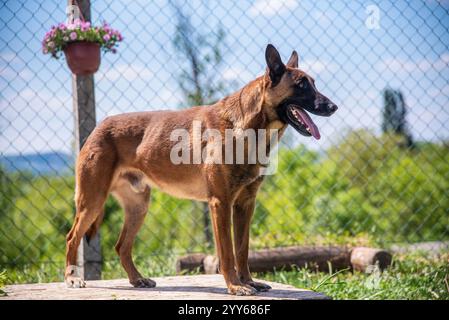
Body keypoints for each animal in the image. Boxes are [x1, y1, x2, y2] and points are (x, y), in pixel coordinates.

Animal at [64, 44, 336, 296]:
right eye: (301, 85)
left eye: (313, 83)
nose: (333, 107)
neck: (248, 129)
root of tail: (98, 127)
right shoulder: (220, 203)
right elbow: (227, 252)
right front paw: (235, 286)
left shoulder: (245, 204)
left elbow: (242, 249)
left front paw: (249, 282)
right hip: (92, 201)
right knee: (72, 237)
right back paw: (72, 279)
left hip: (138, 207)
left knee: (121, 246)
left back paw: (136, 279)